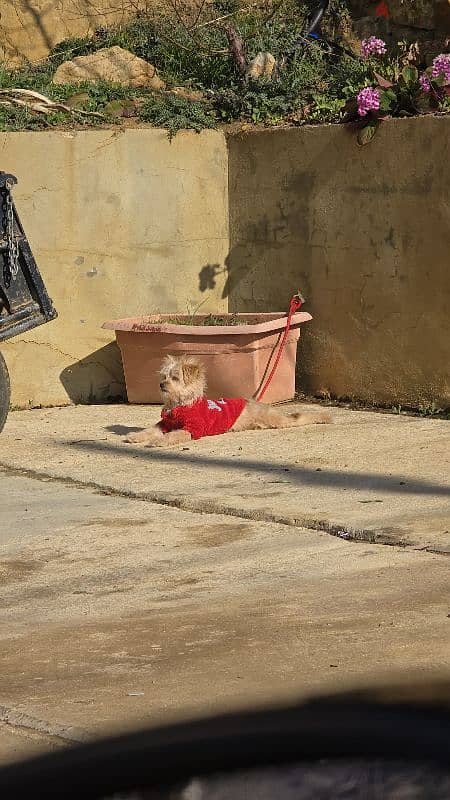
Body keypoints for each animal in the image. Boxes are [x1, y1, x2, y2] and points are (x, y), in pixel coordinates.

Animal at [125, 354, 332, 446]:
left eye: (175, 378)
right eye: (163, 376)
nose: (161, 385)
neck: (180, 405)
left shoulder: (191, 429)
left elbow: (174, 435)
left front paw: (160, 441)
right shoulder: (164, 423)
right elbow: (150, 429)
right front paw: (135, 436)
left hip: (279, 421)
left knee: (297, 418)